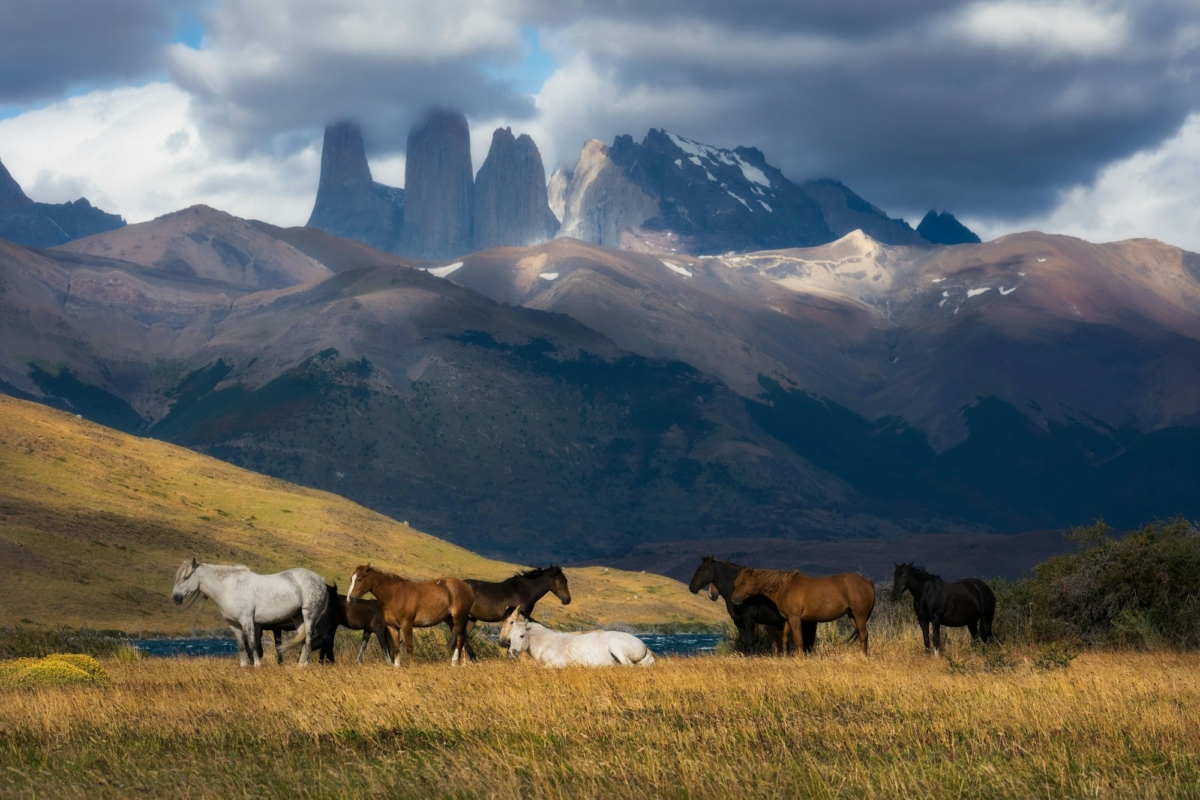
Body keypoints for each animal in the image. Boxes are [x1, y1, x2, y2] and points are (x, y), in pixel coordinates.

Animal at [169, 561, 328, 666]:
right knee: (303, 638)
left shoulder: (247, 620)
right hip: (298, 616)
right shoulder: (234, 624)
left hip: (309, 615)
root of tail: (321, 580)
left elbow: (252, 644)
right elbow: (241, 645)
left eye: (185, 577)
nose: (175, 598)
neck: (229, 587)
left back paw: (304, 664)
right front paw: (244, 666)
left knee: (309, 638)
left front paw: (257, 665)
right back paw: (299, 664)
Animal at [501, 609, 662, 666]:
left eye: (522, 635)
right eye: (510, 637)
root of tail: (644, 646)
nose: (511, 653)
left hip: (617, 648)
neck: (547, 643)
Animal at [724, 566, 878, 652]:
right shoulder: (788, 619)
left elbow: (798, 640)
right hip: (853, 617)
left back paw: (863, 657)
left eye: (744, 582)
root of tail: (868, 582)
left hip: (859, 616)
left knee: (864, 636)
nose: (734, 599)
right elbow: (786, 639)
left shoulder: (795, 618)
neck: (785, 588)